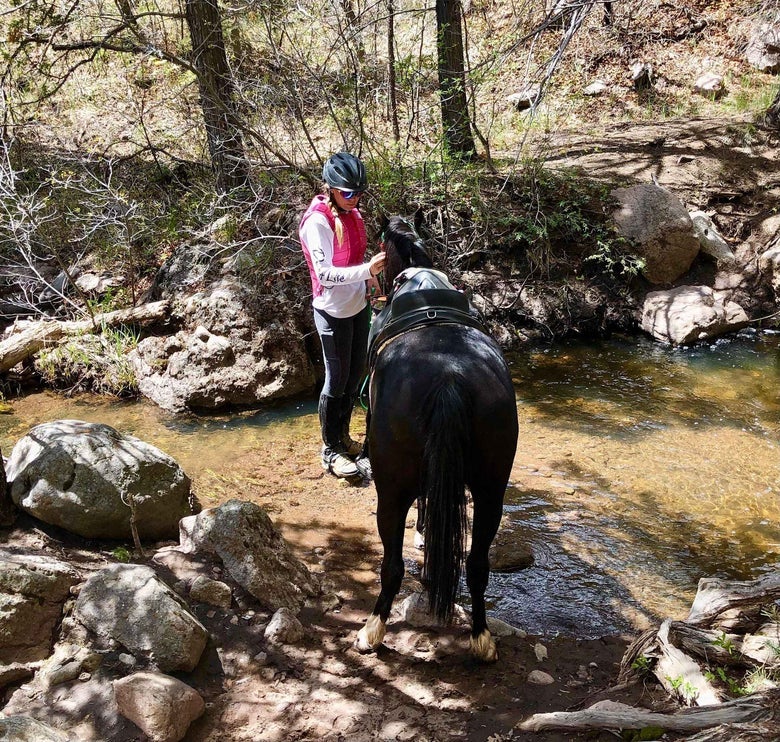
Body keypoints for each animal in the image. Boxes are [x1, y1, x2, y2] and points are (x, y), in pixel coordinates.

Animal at [355, 215, 519, 662]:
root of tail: (448, 375)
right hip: (491, 490)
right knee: (477, 565)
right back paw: (481, 637)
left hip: (391, 491)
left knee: (391, 566)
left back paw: (372, 630)